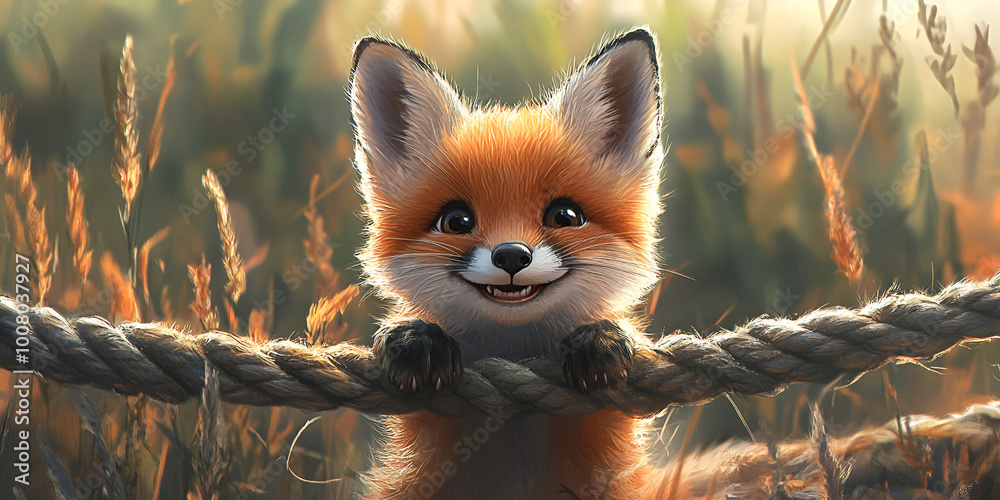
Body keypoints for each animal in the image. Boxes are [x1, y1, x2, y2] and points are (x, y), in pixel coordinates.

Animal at [350, 27, 665, 499]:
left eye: (565, 216)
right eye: (456, 220)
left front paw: (602, 337)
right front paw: (415, 337)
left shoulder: (611, 435)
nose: (512, 255)